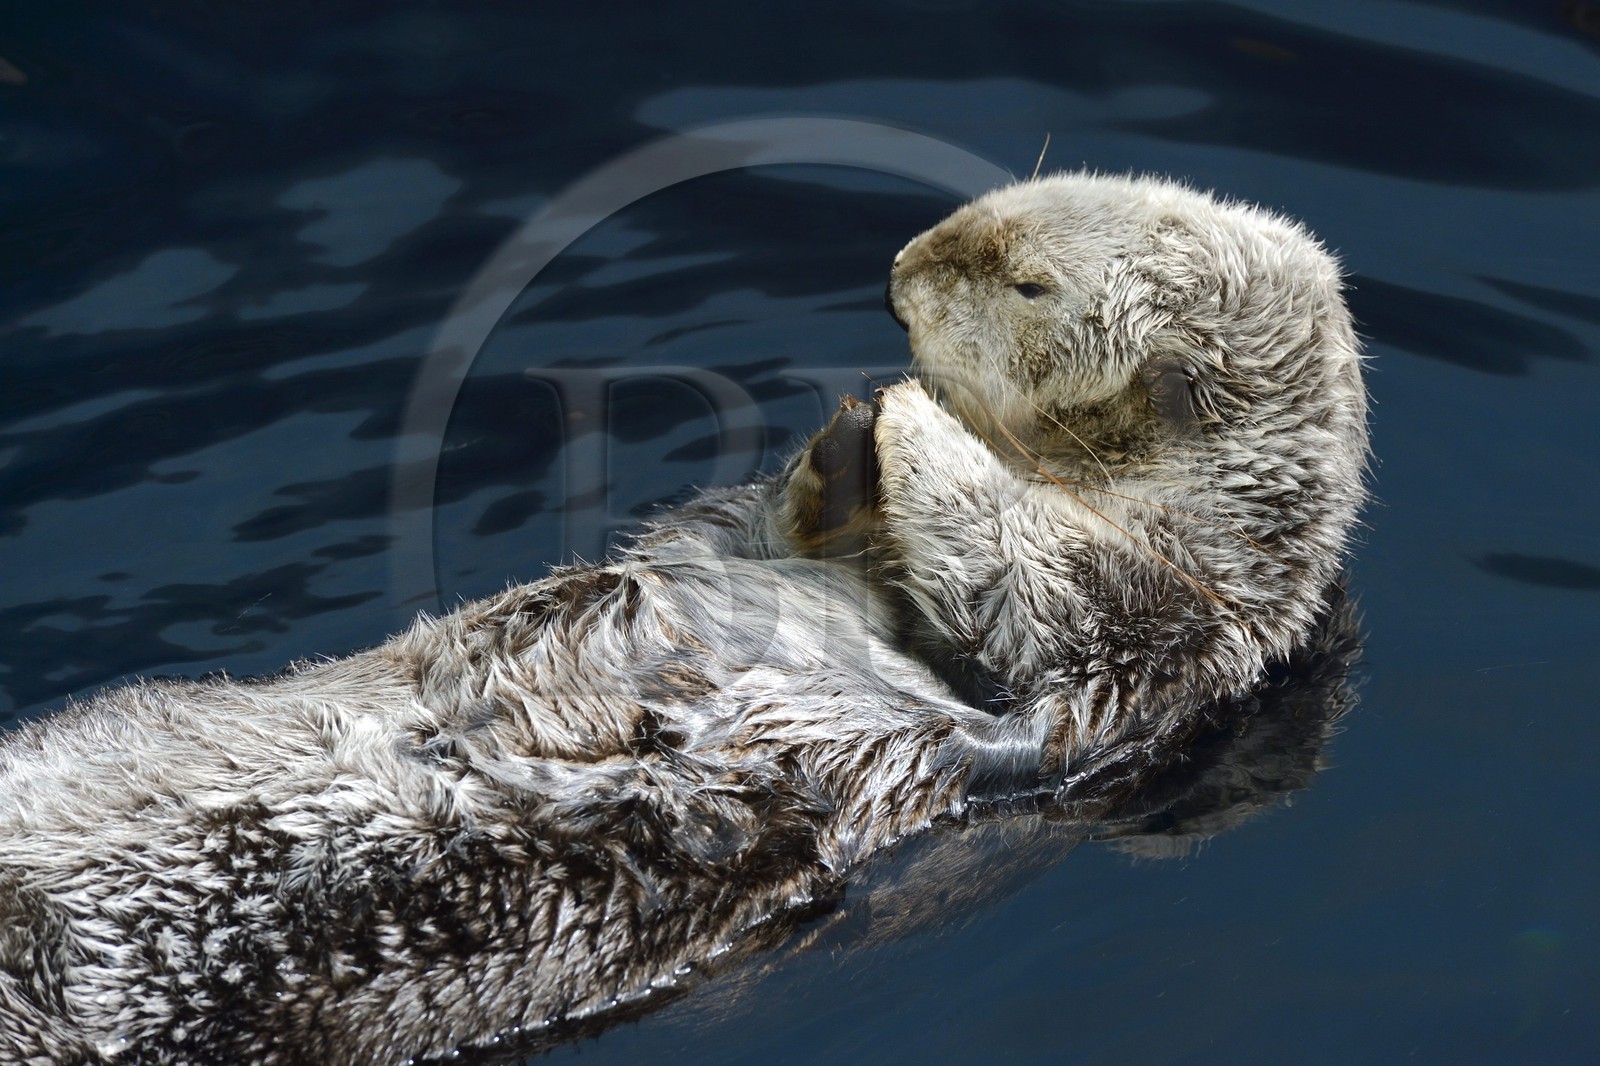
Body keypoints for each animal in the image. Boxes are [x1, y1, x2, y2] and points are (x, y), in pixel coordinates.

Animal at [0, 173, 1366, 1065]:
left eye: (1028, 284)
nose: (896, 277)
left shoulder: (1165, 642)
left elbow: (1042, 596)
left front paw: (911, 418)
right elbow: (774, 534)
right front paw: (843, 443)